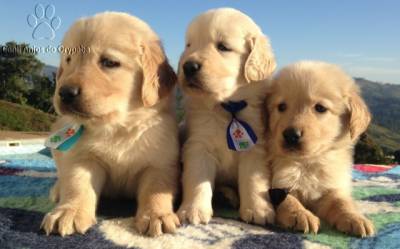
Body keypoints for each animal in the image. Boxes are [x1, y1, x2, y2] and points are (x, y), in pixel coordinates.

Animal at [40, 12, 178, 237]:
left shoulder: (160, 163)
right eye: (69, 60)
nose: (65, 93)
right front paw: (69, 211)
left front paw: (156, 215)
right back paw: (58, 190)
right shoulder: (83, 158)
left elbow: (155, 189)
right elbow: (77, 185)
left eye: (109, 62)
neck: (118, 127)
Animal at [177, 7, 276, 226]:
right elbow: (197, 180)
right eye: (189, 45)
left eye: (223, 47)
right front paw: (193, 210)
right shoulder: (198, 145)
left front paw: (258, 209)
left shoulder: (255, 148)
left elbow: (253, 180)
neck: (227, 107)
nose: (188, 66)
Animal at [266, 61, 376, 236]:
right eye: (281, 106)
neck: (307, 163)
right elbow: (288, 199)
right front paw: (300, 214)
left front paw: (354, 217)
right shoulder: (278, 184)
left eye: (320, 108)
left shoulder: (330, 187)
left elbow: (341, 201)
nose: (291, 135)